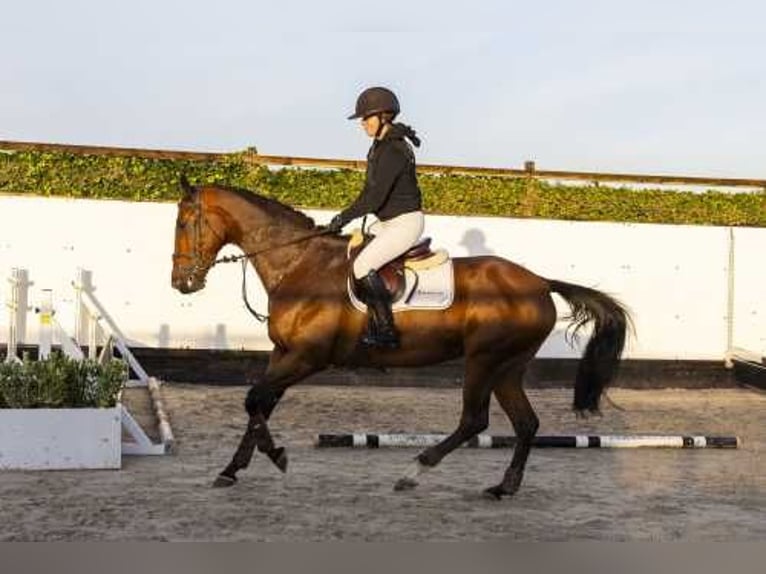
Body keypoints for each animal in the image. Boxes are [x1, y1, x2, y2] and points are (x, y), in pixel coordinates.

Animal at [172, 179, 632, 500]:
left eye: (184, 222)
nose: (181, 283)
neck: (299, 262)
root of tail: (539, 282)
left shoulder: (307, 357)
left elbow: (253, 399)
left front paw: (277, 456)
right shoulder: (283, 353)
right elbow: (258, 405)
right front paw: (231, 469)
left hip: (484, 360)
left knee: (474, 420)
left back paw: (413, 471)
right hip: (508, 366)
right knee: (525, 423)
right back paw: (504, 487)